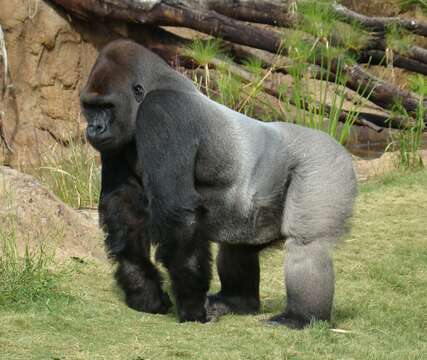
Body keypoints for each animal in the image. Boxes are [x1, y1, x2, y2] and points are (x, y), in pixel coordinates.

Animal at [80, 38, 358, 330]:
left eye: (107, 107)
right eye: (89, 107)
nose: (94, 129)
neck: (155, 86)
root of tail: (339, 146)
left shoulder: (163, 112)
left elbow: (176, 213)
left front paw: (191, 306)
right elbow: (123, 206)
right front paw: (144, 290)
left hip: (326, 162)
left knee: (307, 244)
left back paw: (301, 317)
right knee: (238, 246)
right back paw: (238, 301)